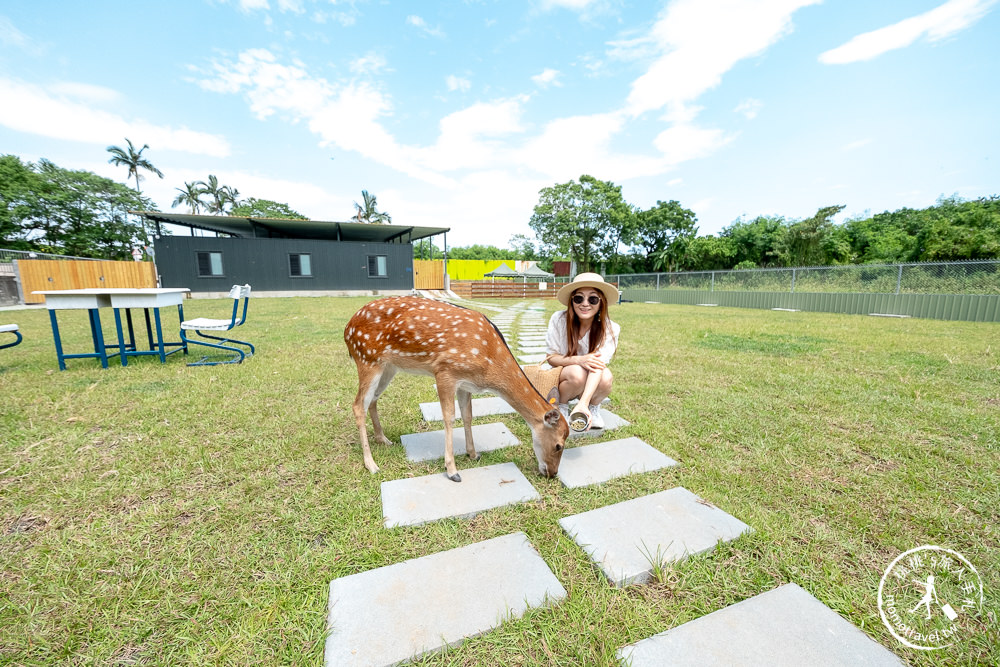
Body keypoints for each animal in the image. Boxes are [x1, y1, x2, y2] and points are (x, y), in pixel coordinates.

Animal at [344, 296, 568, 480]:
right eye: (559, 445)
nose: (552, 473)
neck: (489, 364)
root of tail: (347, 329)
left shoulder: (465, 384)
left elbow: (467, 415)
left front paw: (473, 454)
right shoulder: (445, 371)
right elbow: (450, 417)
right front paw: (452, 471)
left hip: (388, 367)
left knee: (372, 400)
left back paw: (383, 439)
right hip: (367, 358)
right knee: (358, 405)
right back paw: (371, 464)